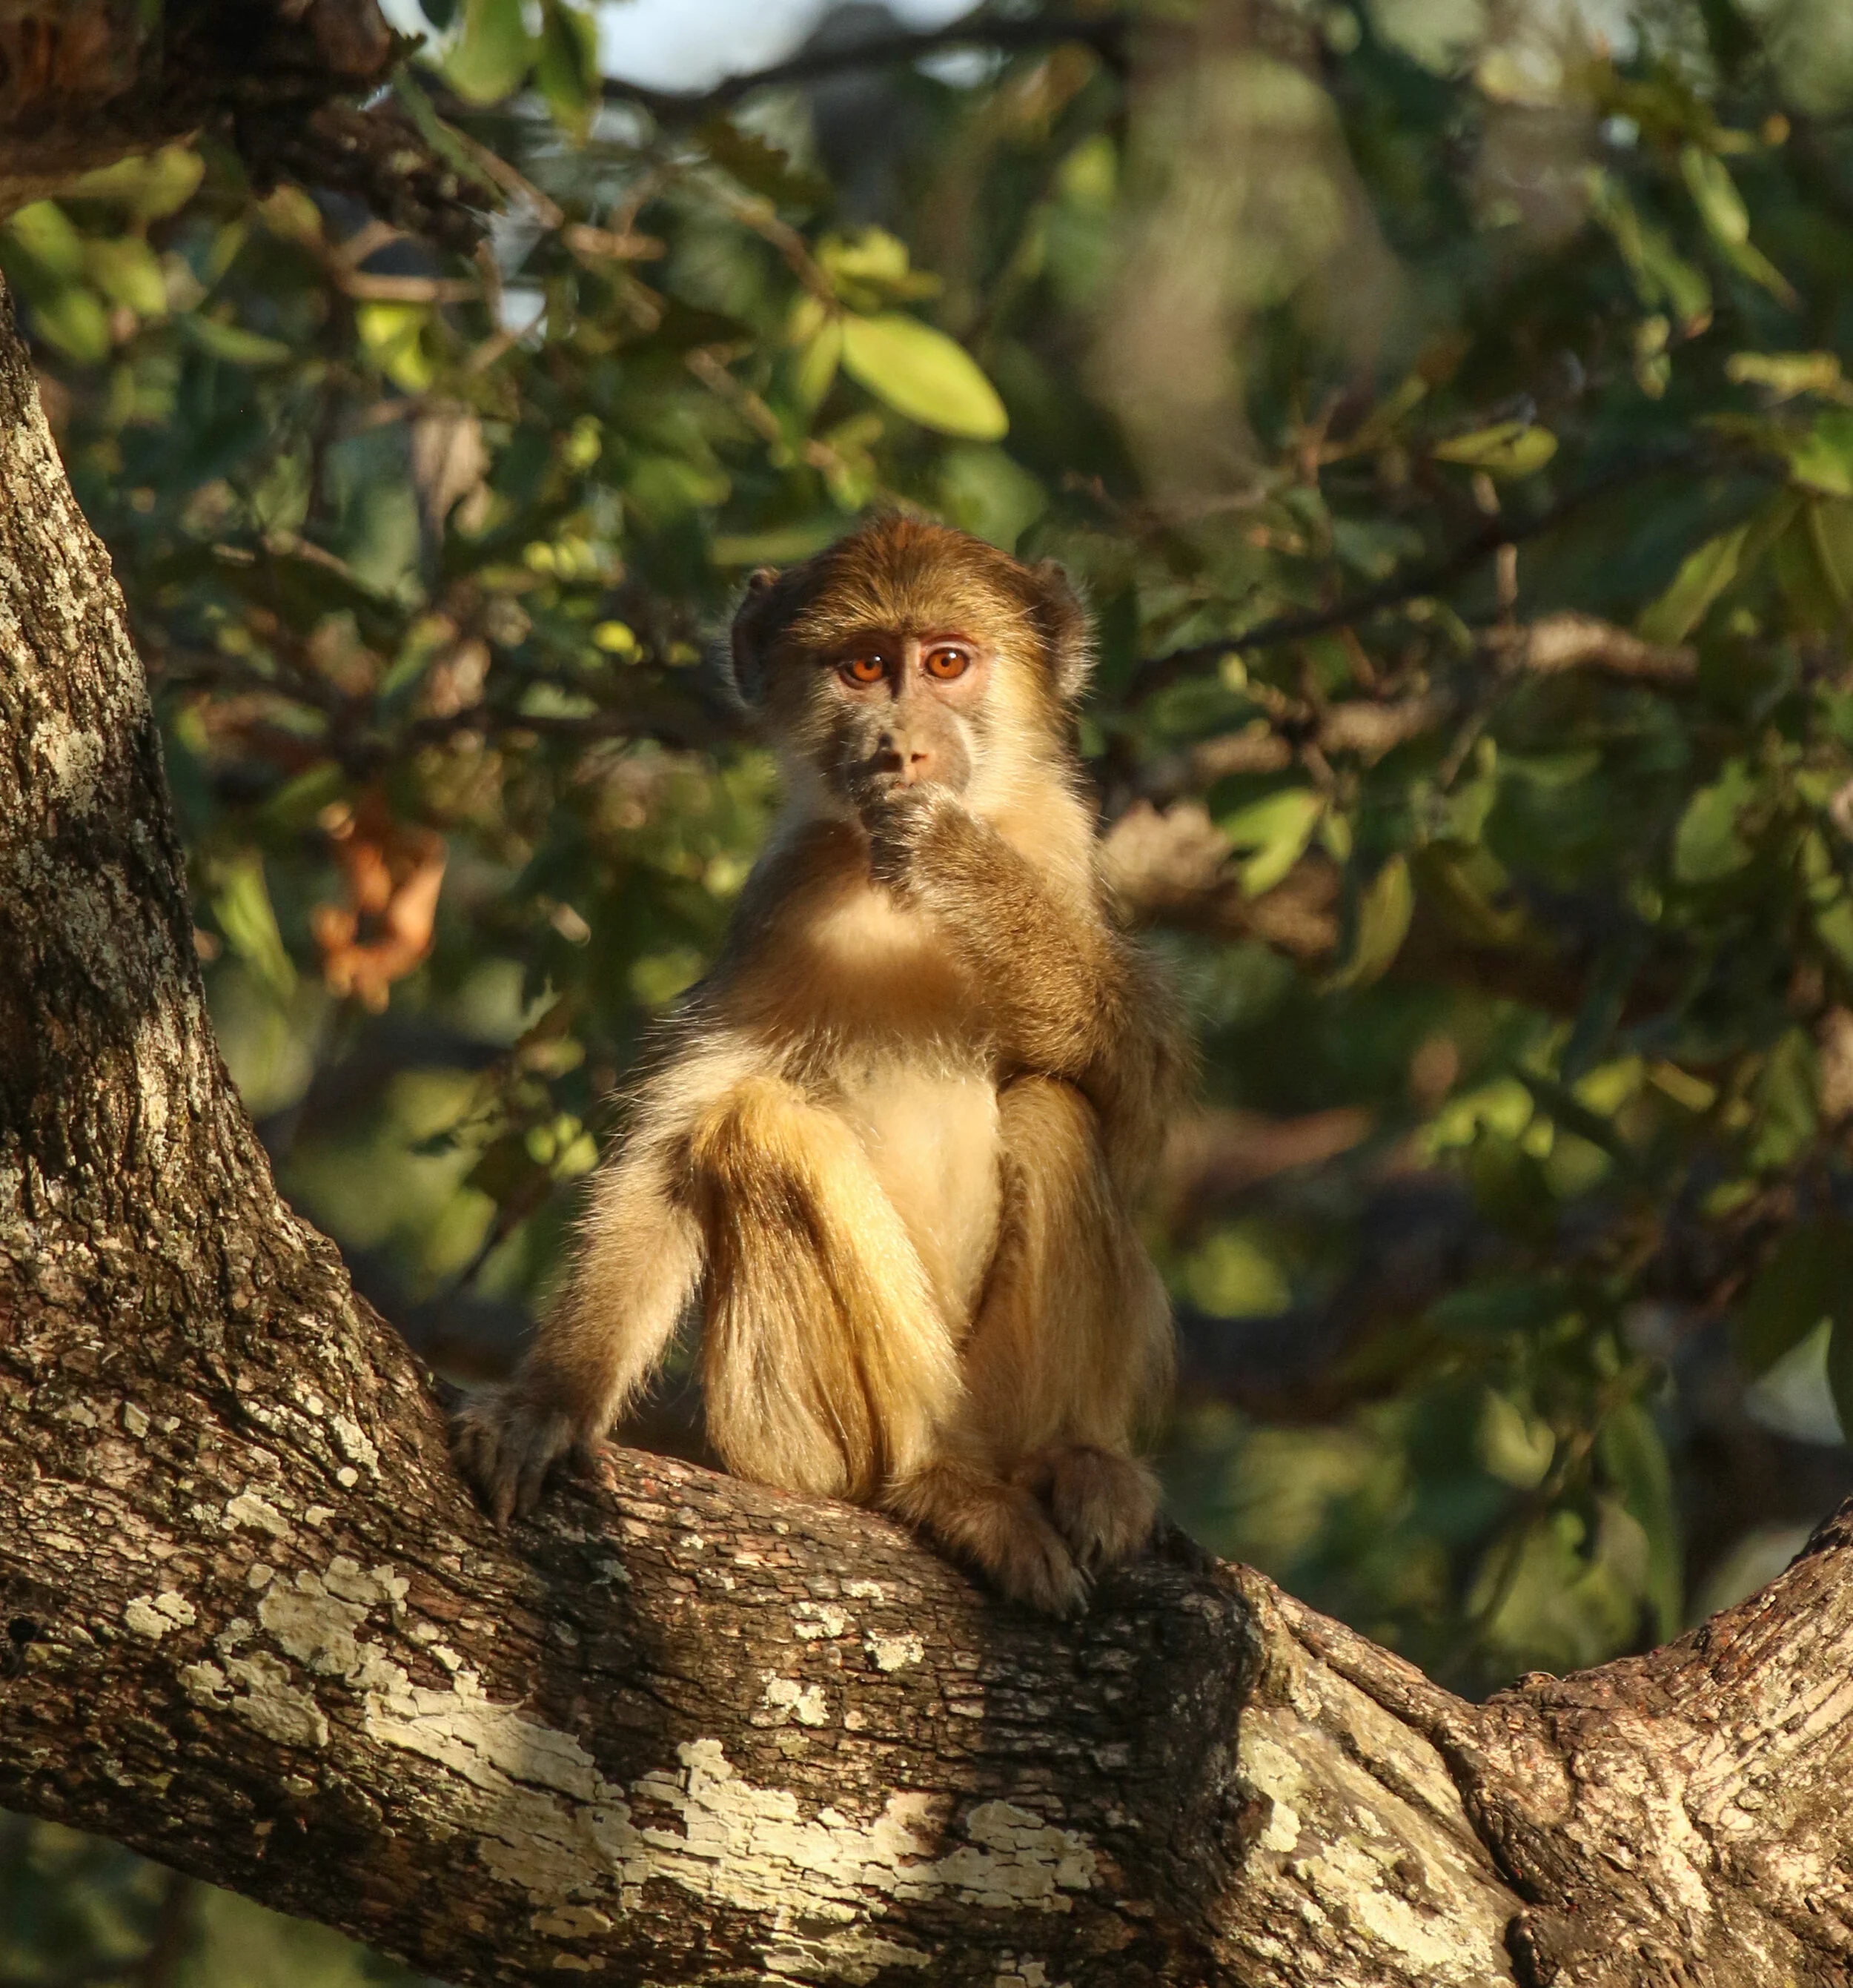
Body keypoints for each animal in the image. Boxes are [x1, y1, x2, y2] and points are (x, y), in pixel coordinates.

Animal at [453, 515, 1192, 1614]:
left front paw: (959, 866)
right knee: (756, 1125)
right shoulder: (782, 897)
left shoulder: (1058, 840)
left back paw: (1073, 1462)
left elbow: (1138, 1098)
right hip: (793, 1443)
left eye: (946, 662)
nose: (900, 748)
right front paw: (549, 1401)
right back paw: (935, 1482)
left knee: (1059, 1110)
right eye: (864, 667)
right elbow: (672, 1150)